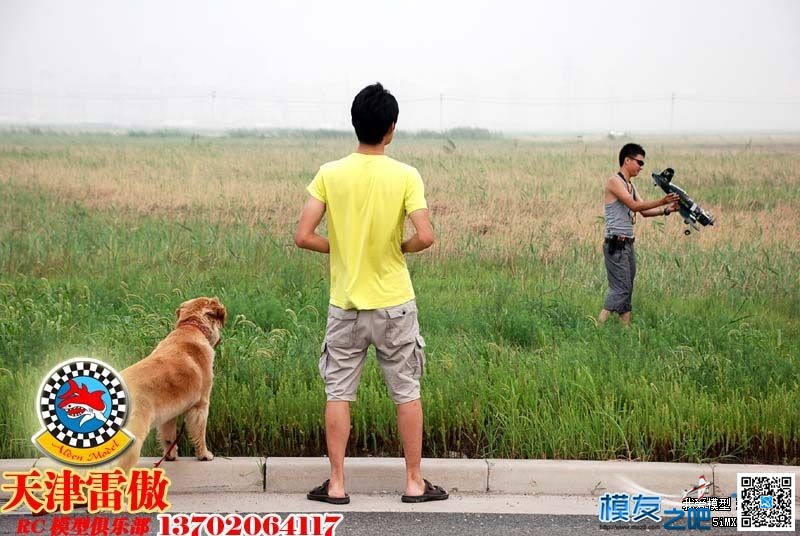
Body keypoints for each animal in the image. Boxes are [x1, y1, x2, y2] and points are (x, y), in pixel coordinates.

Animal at [112, 298, 227, 474]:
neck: (191, 327)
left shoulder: (169, 414)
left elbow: (169, 437)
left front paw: (170, 456)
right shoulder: (201, 405)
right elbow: (200, 434)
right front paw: (204, 455)